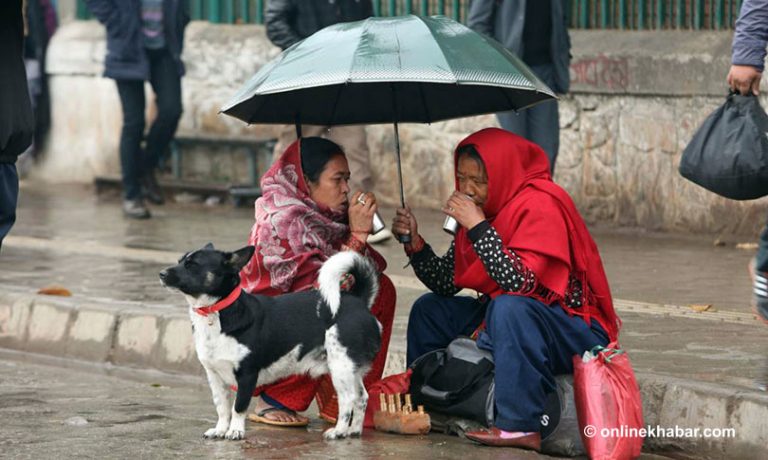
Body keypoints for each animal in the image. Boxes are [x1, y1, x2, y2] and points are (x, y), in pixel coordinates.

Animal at [160, 243, 380, 440]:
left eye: (192, 265)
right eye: (180, 261)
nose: (161, 274)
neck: (216, 312)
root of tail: (358, 301)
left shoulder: (247, 376)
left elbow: (238, 406)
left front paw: (235, 431)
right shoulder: (214, 376)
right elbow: (222, 407)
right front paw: (220, 430)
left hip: (340, 367)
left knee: (348, 400)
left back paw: (339, 431)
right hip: (350, 369)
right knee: (362, 398)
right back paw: (354, 430)